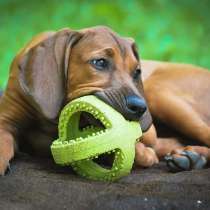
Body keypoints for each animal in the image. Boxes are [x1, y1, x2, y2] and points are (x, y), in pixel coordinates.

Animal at [0, 25, 210, 175]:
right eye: (100, 62)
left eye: (137, 72)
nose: (140, 108)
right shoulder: (6, 120)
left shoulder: (150, 133)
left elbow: (142, 150)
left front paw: (143, 153)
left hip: (158, 94)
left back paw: (192, 158)